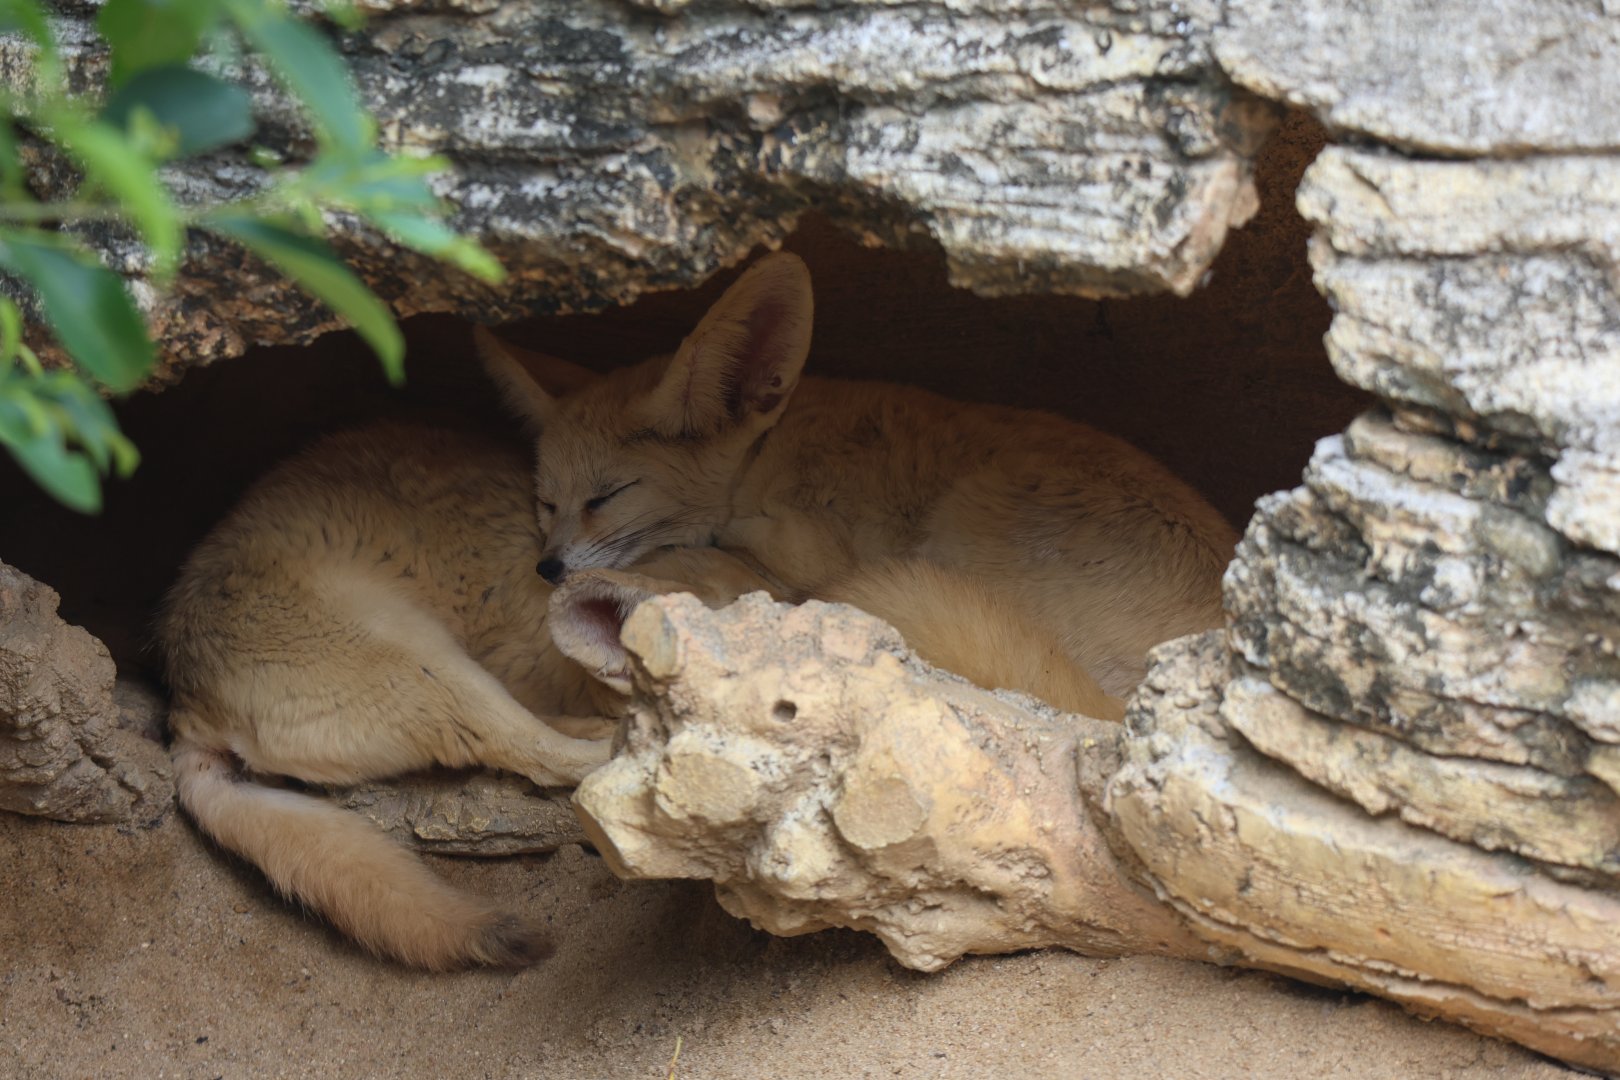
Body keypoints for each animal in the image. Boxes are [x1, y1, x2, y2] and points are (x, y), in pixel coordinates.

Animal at [478, 250, 1237, 699]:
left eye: (607, 496)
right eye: (546, 502)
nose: (547, 567)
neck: (767, 455)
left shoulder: (810, 551)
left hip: (974, 507)